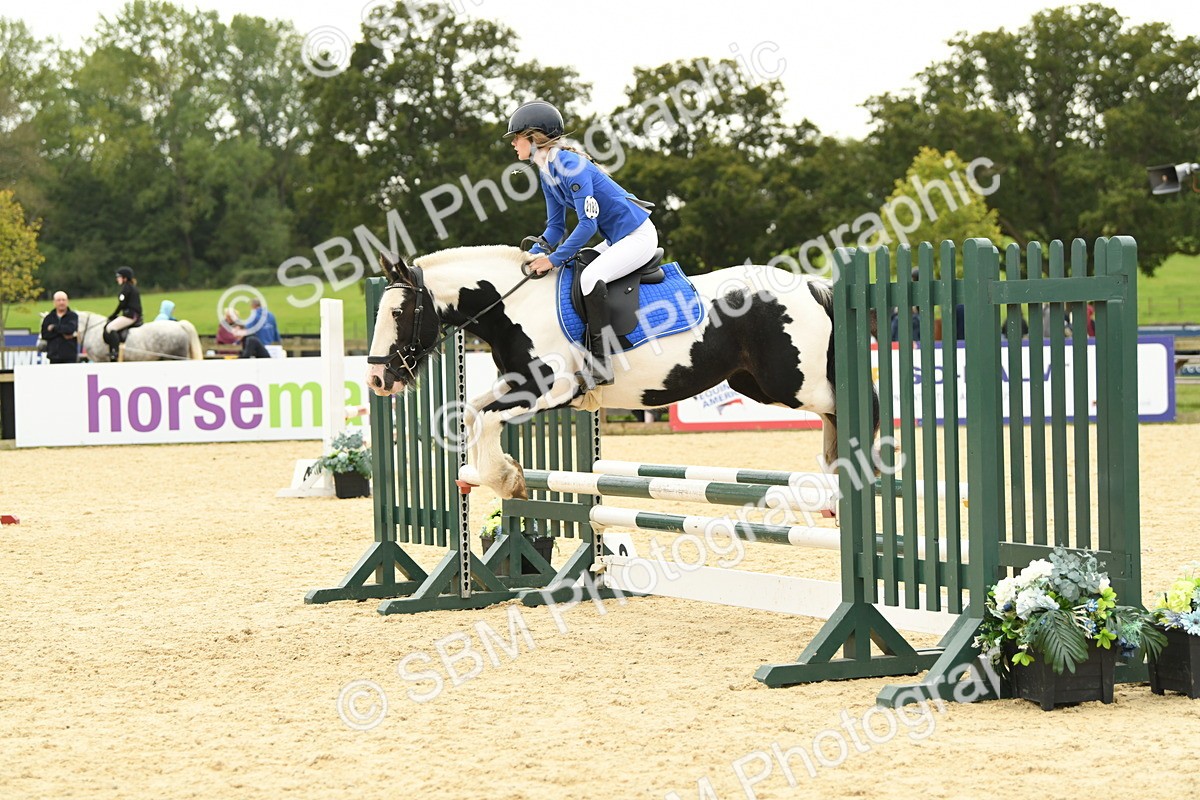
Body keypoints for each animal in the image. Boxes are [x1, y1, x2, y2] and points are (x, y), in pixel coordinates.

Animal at [366, 245, 877, 499]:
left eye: (399, 313)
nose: (376, 380)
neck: (515, 304)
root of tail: (810, 284)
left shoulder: (551, 389)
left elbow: (487, 419)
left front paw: (503, 478)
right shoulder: (516, 383)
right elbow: (472, 412)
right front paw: (495, 474)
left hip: (790, 382)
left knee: (855, 405)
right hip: (755, 383)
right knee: (833, 415)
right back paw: (834, 471)